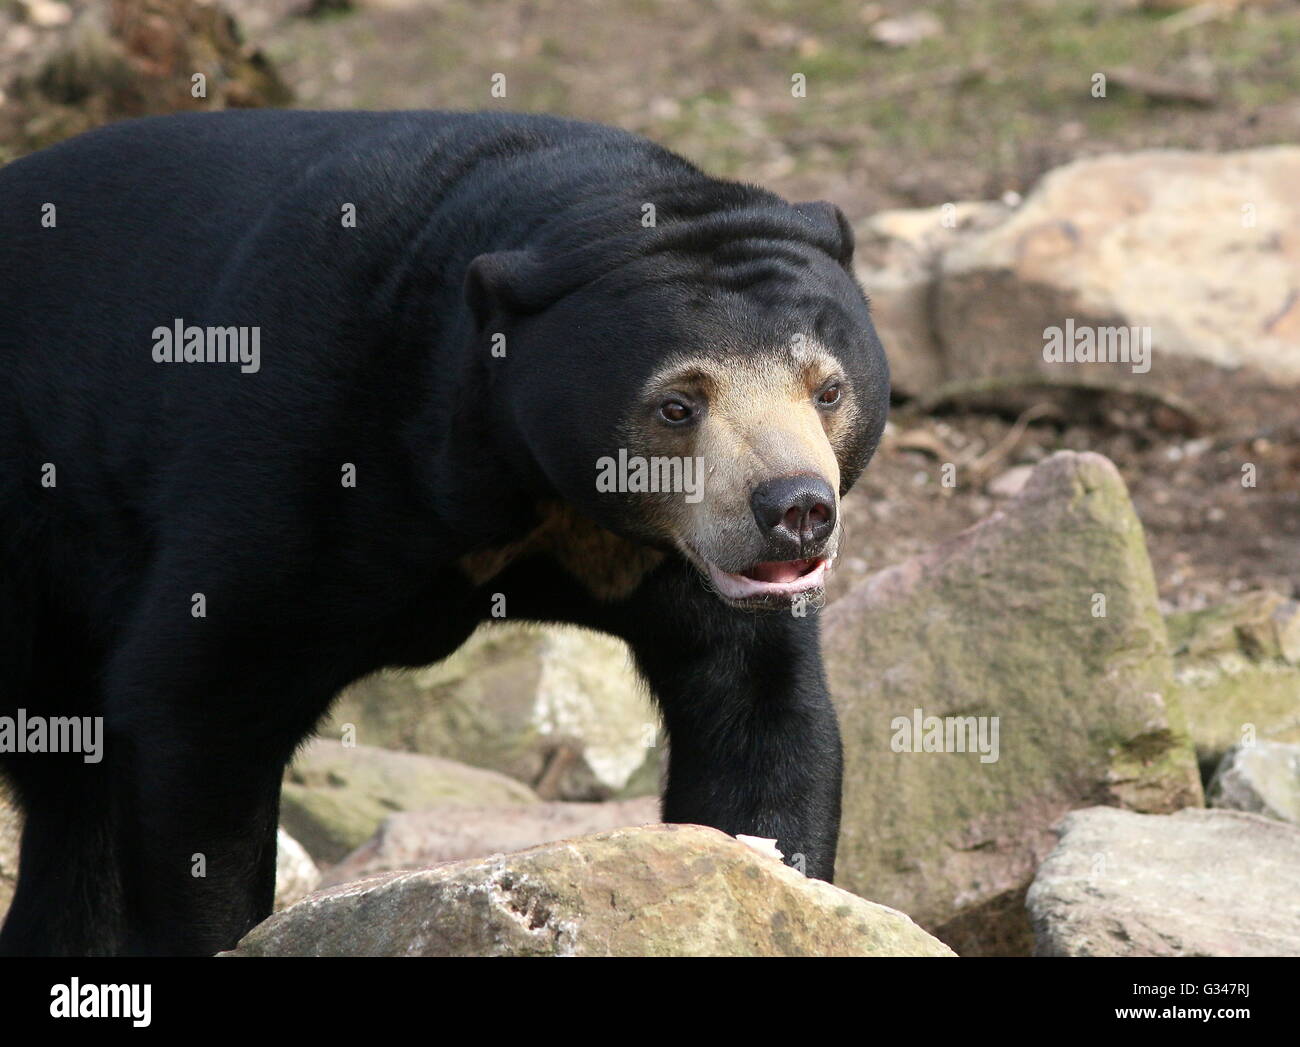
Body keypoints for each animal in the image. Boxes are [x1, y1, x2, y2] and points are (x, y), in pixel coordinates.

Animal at [0, 110, 889, 956]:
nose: (795, 509)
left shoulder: (673, 558)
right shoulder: (302, 445)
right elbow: (196, 694)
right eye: (678, 404)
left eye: (828, 388)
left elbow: (760, 715)